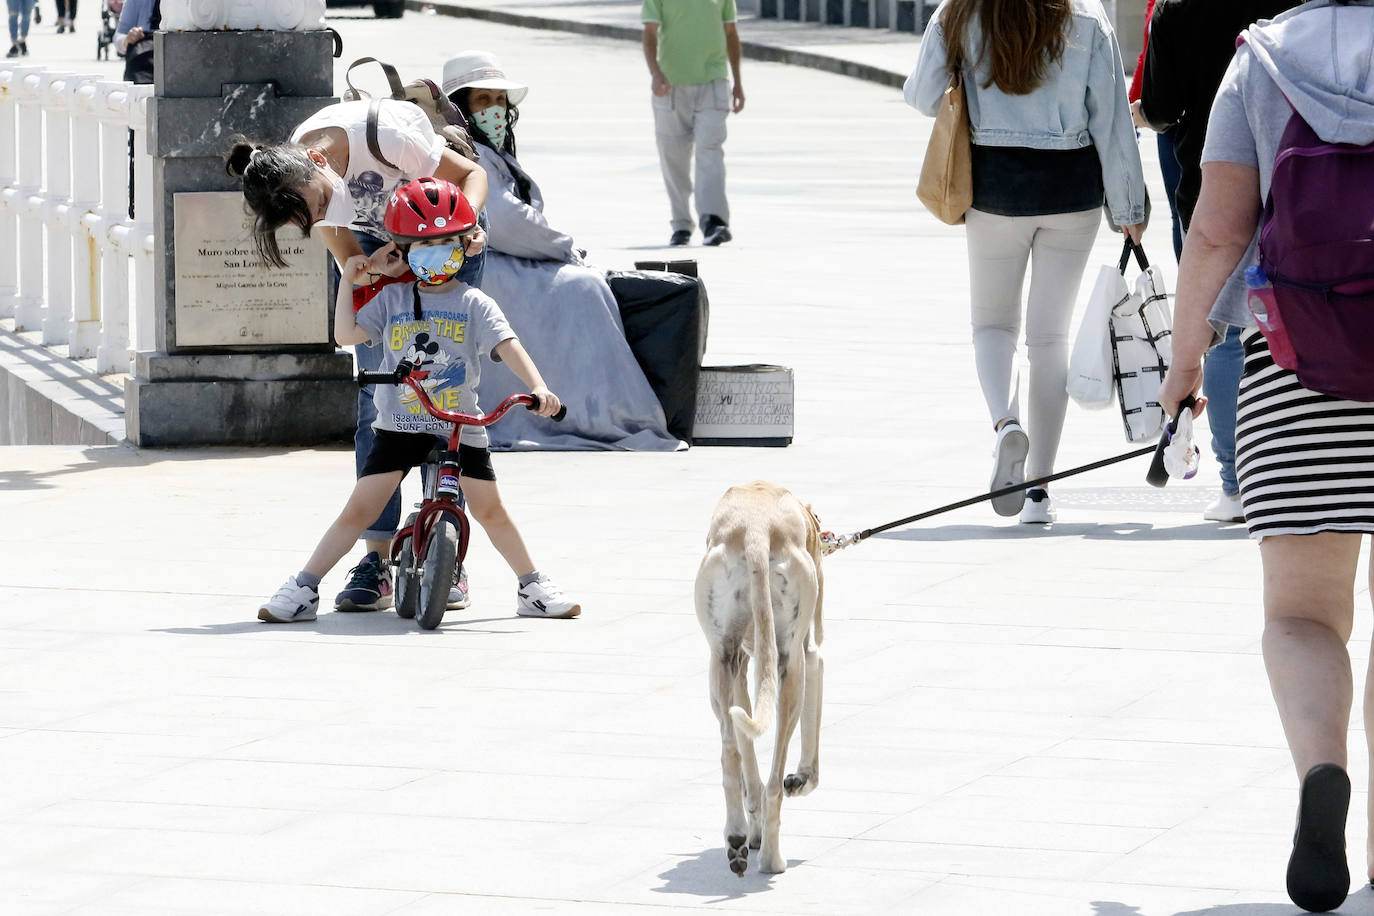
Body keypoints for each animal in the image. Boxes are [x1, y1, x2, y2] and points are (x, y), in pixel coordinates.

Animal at [692, 480, 818, 873]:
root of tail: (756, 531)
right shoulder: (811, 653)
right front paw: (803, 780)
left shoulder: (740, 666)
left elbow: (746, 755)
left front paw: (752, 830)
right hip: (791, 666)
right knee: (775, 780)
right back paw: (773, 858)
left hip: (721, 659)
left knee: (730, 751)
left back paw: (736, 835)